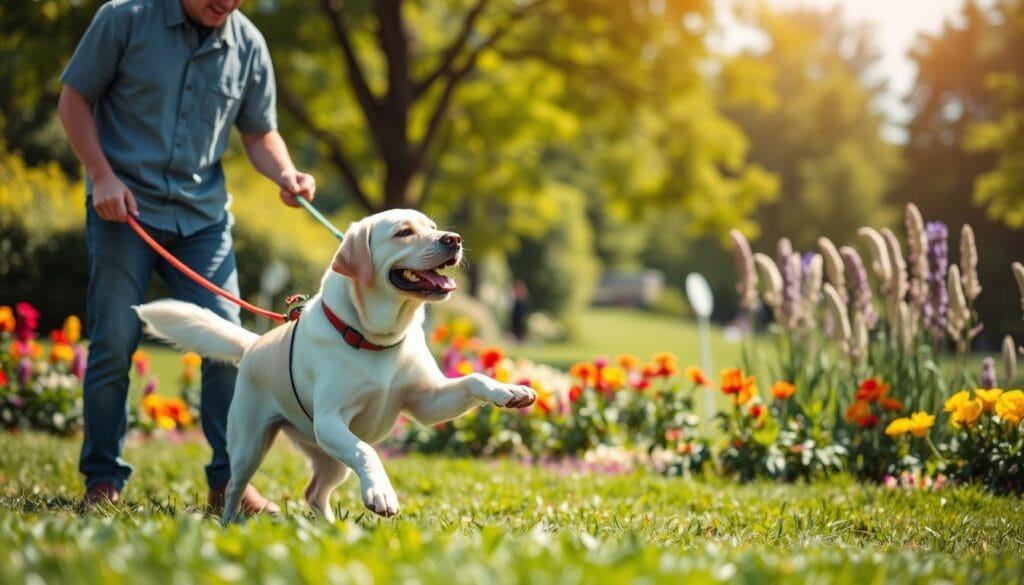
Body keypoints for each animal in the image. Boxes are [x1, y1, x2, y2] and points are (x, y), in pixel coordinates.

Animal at [135, 209, 536, 522]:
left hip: (331, 460)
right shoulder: (331, 419)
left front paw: (508, 391)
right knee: (235, 485)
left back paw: (329, 528)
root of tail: (253, 343)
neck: (378, 339)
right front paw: (381, 492)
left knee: (314, 492)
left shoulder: (427, 401)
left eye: (433, 226)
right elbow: (367, 450)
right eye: (403, 232)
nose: (454, 239)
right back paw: (228, 523)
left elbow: (473, 379)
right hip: (251, 444)